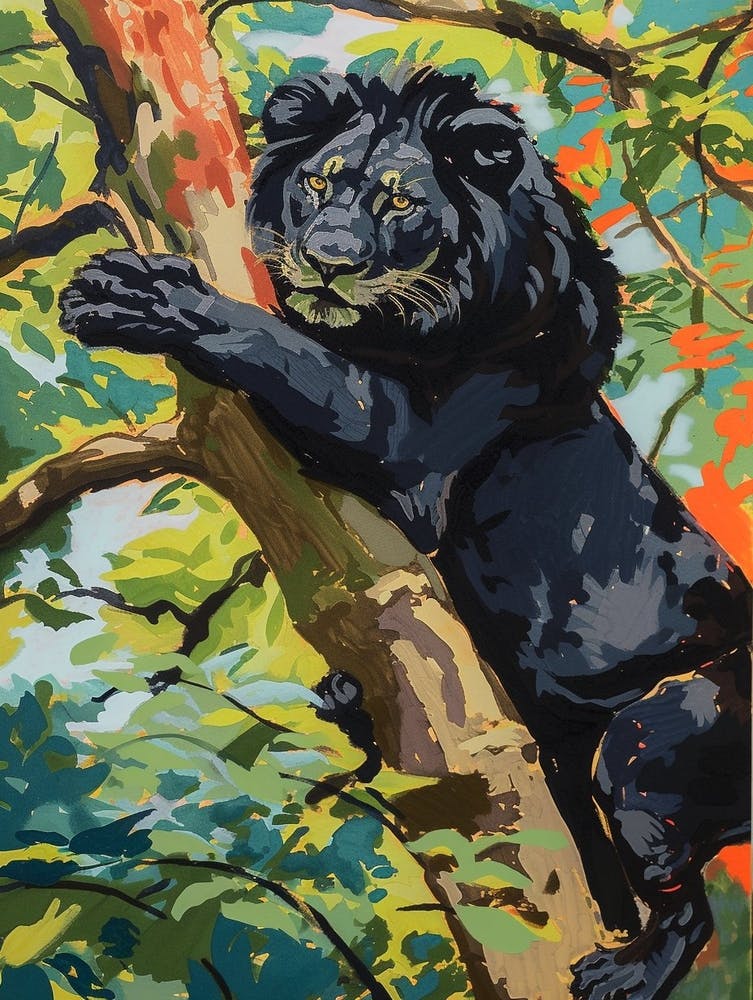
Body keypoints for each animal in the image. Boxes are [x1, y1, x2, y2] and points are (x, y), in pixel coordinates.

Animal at [60, 68, 751, 1000]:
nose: (327, 257)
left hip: (652, 742)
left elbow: (287, 348)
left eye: (398, 201)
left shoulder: (410, 447)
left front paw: (133, 296)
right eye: (319, 184)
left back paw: (625, 974)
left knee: (684, 900)